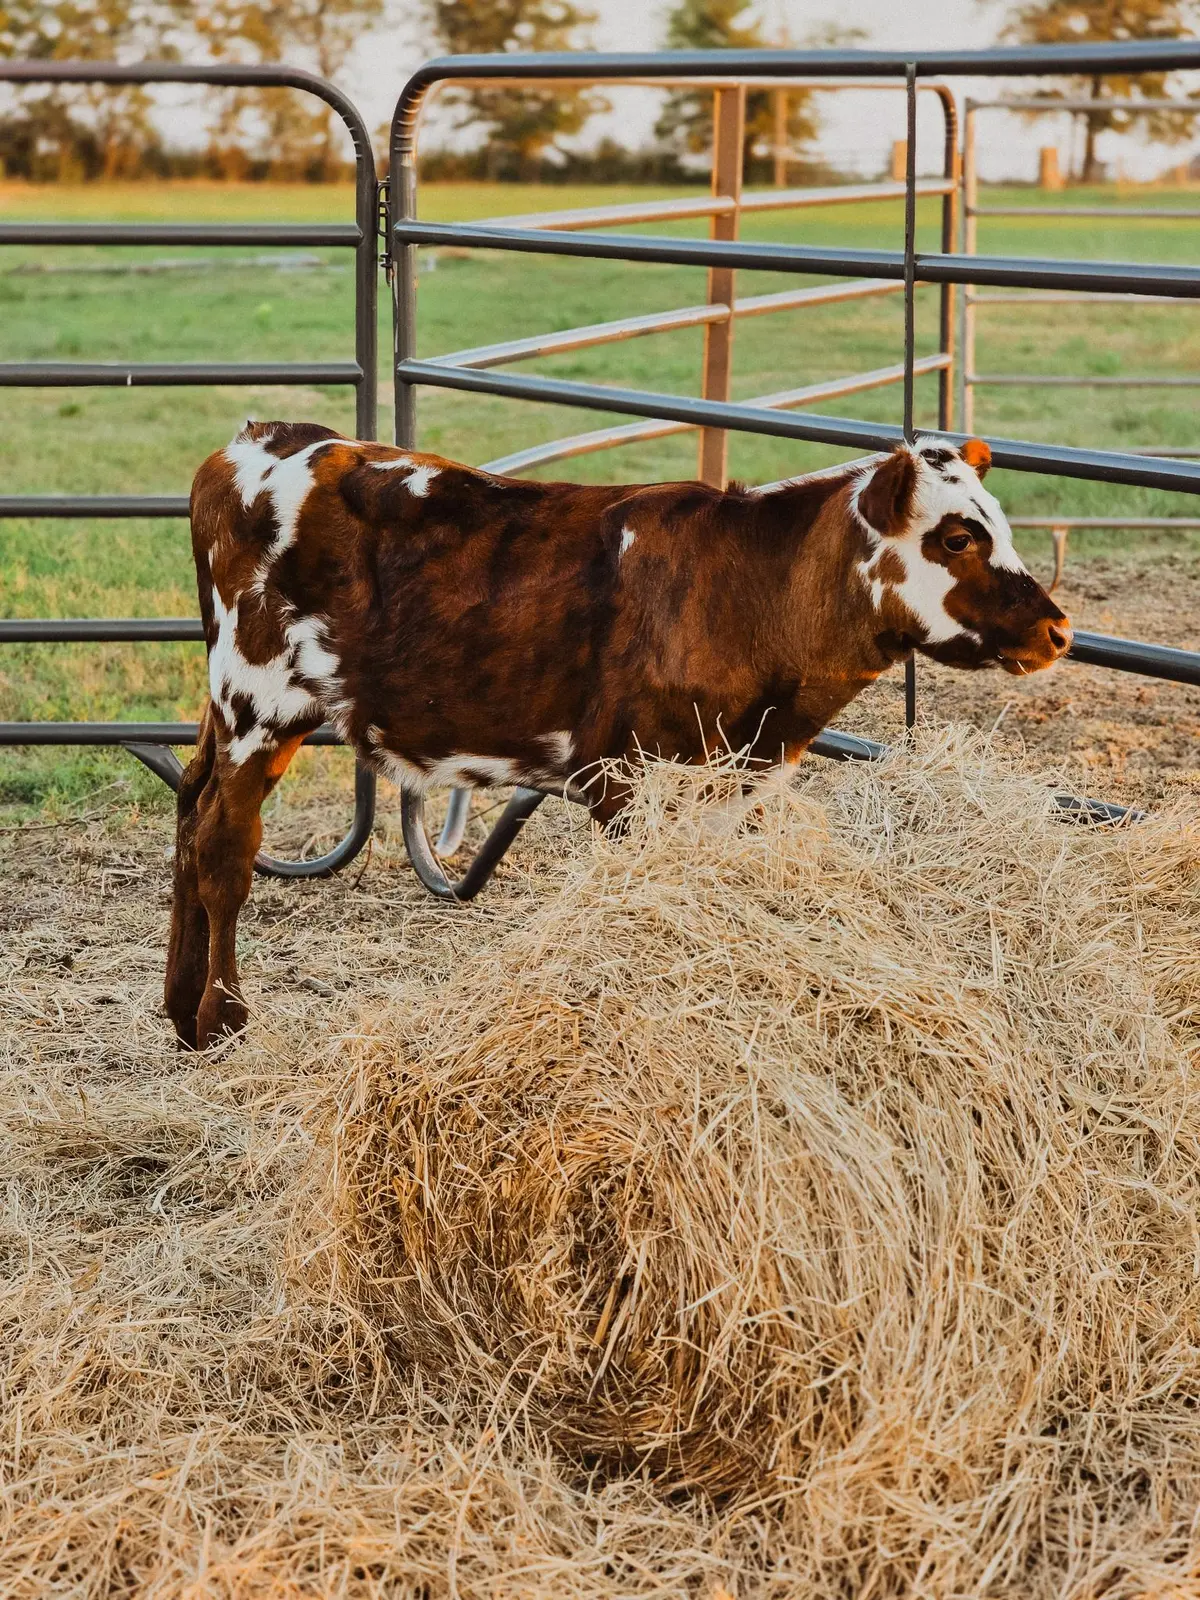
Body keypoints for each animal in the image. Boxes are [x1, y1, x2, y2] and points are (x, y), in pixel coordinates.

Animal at [165, 421, 1071, 1048]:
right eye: (958, 535)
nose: (1057, 628)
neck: (750, 587)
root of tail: (263, 441)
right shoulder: (626, 777)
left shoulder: (727, 781)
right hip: (258, 702)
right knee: (224, 844)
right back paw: (223, 1018)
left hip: (231, 710)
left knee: (188, 807)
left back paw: (178, 1010)